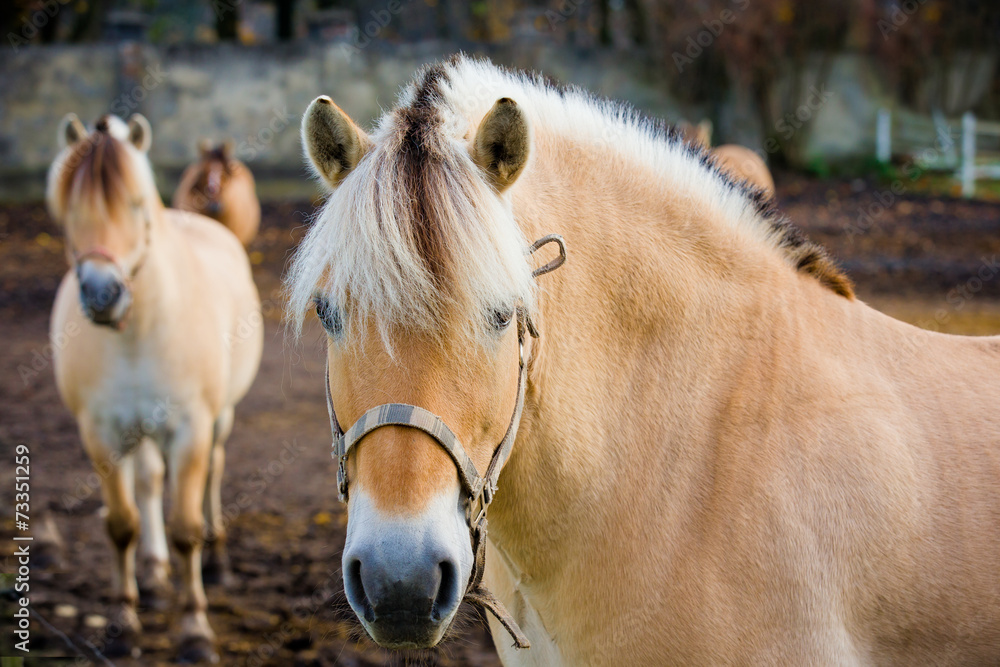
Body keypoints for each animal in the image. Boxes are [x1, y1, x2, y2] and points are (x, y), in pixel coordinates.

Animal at [48, 113, 263, 662]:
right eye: (69, 209)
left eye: (136, 204)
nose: (103, 293)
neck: (139, 331)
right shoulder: (100, 433)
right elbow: (121, 523)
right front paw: (124, 619)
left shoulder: (191, 428)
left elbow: (186, 529)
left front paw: (195, 630)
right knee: (147, 482)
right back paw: (152, 572)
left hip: (220, 420)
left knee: (213, 473)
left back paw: (217, 560)